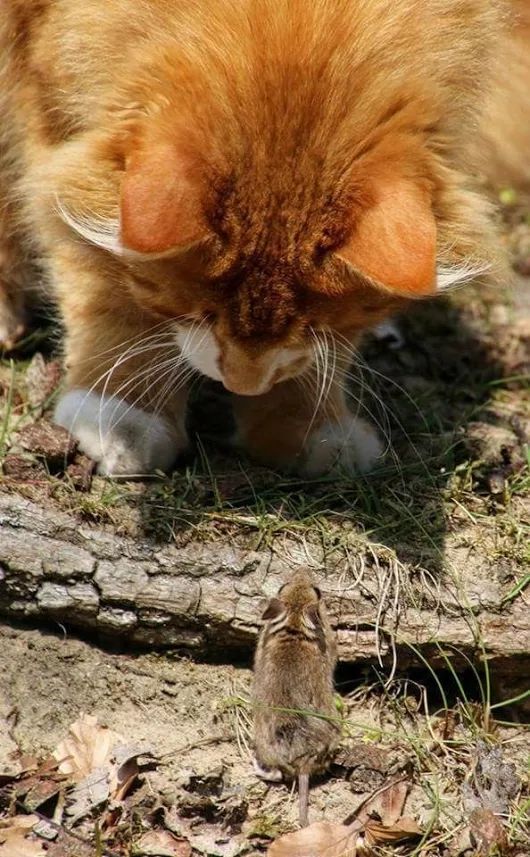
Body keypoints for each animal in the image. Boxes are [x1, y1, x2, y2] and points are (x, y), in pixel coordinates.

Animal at [0, 0, 520, 474]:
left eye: (318, 325)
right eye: (198, 312)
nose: (241, 384)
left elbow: (314, 363)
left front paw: (305, 430)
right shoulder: (47, 104)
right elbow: (108, 291)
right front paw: (121, 416)